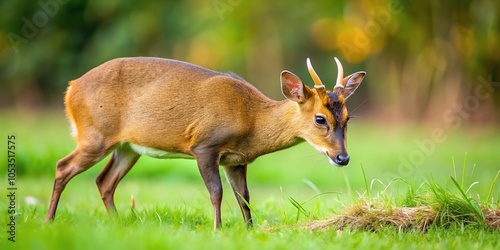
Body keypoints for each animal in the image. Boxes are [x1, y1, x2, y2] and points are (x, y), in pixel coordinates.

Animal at [46, 56, 364, 230]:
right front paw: (217, 229)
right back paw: (49, 220)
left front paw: (249, 230)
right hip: (95, 136)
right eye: (320, 119)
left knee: (104, 181)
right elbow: (216, 193)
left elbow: (244, 196)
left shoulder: (236, 160)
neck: (251, 119)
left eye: (348, 118)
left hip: (128, 147)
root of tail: (70, 88)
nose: (343, 158)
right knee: (62, 167)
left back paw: (118, 222)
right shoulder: (204, 146)